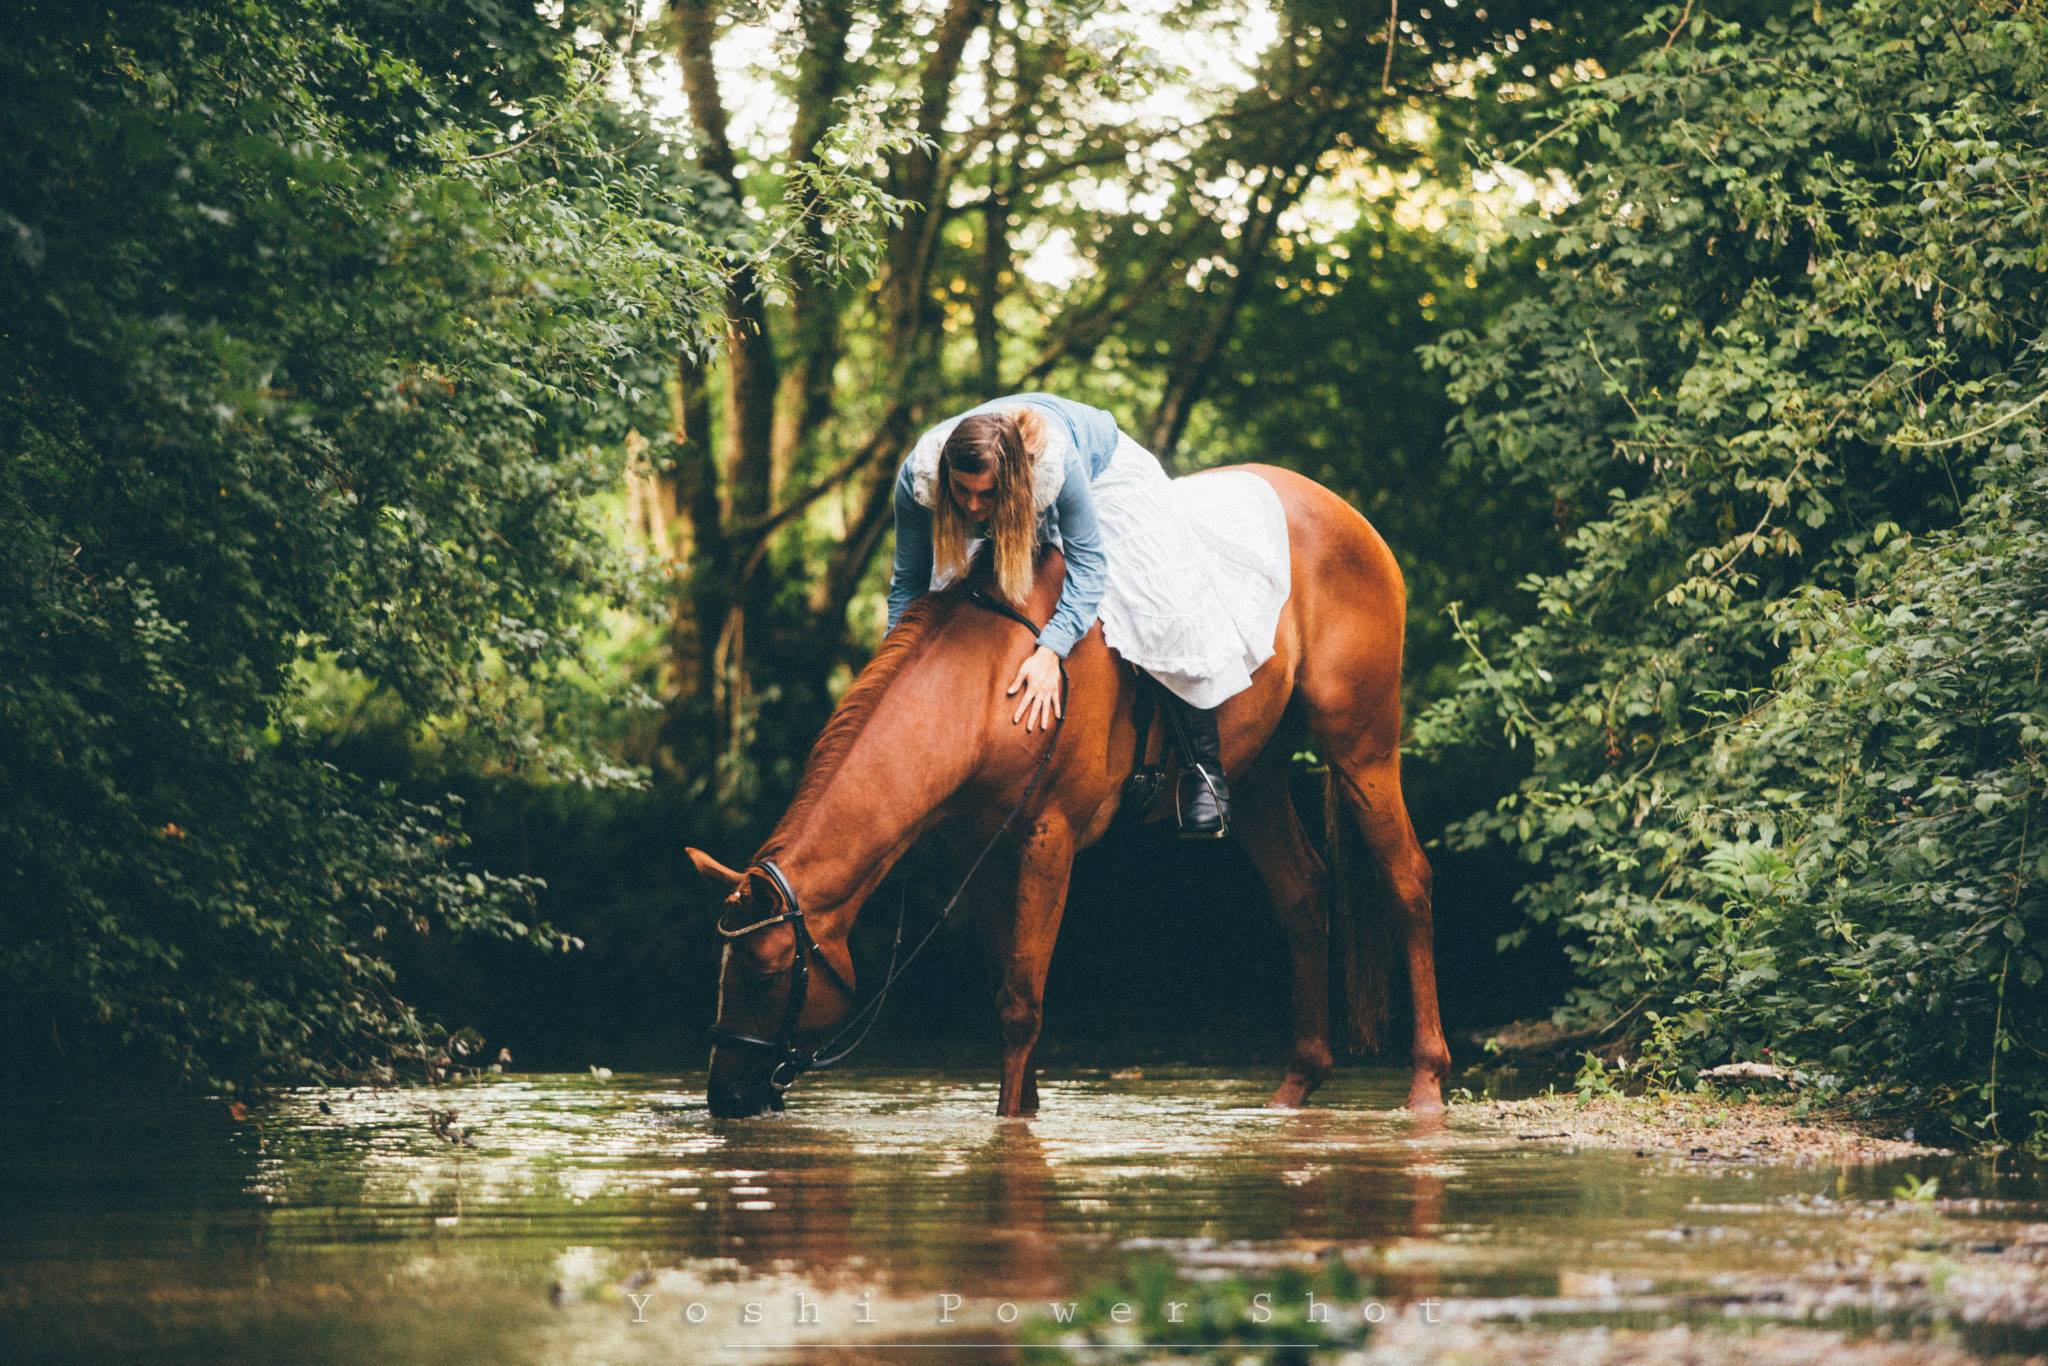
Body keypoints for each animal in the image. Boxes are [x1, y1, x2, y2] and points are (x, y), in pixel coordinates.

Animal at [692, 464, 1458, 1114]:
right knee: (1302, 895)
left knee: (1409, 882)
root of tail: (1349, 519)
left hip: (1362, 748)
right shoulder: (983, 854)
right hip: (1259, 773)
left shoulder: (1047, 839)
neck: (990, 681)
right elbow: (1008, 987)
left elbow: (1021, 1002)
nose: (725, 1095)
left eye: (765, 972)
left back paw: (1426, 1084)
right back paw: (1295, 1089)